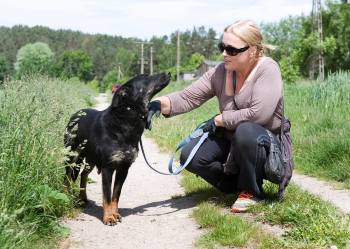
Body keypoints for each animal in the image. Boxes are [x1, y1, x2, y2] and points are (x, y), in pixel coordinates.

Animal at [64, 72, 171, 226]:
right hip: (72, 155)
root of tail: (75, 114)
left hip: (90, 159)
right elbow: (107, 196)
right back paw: (66, 196)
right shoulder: (108, 168)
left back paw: (83, 198)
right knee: (67, 177)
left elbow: (116, 195)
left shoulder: (124, 168)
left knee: (84, 174)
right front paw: (108, 218)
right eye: (146, 77)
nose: (168, 73)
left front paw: (115, 214)